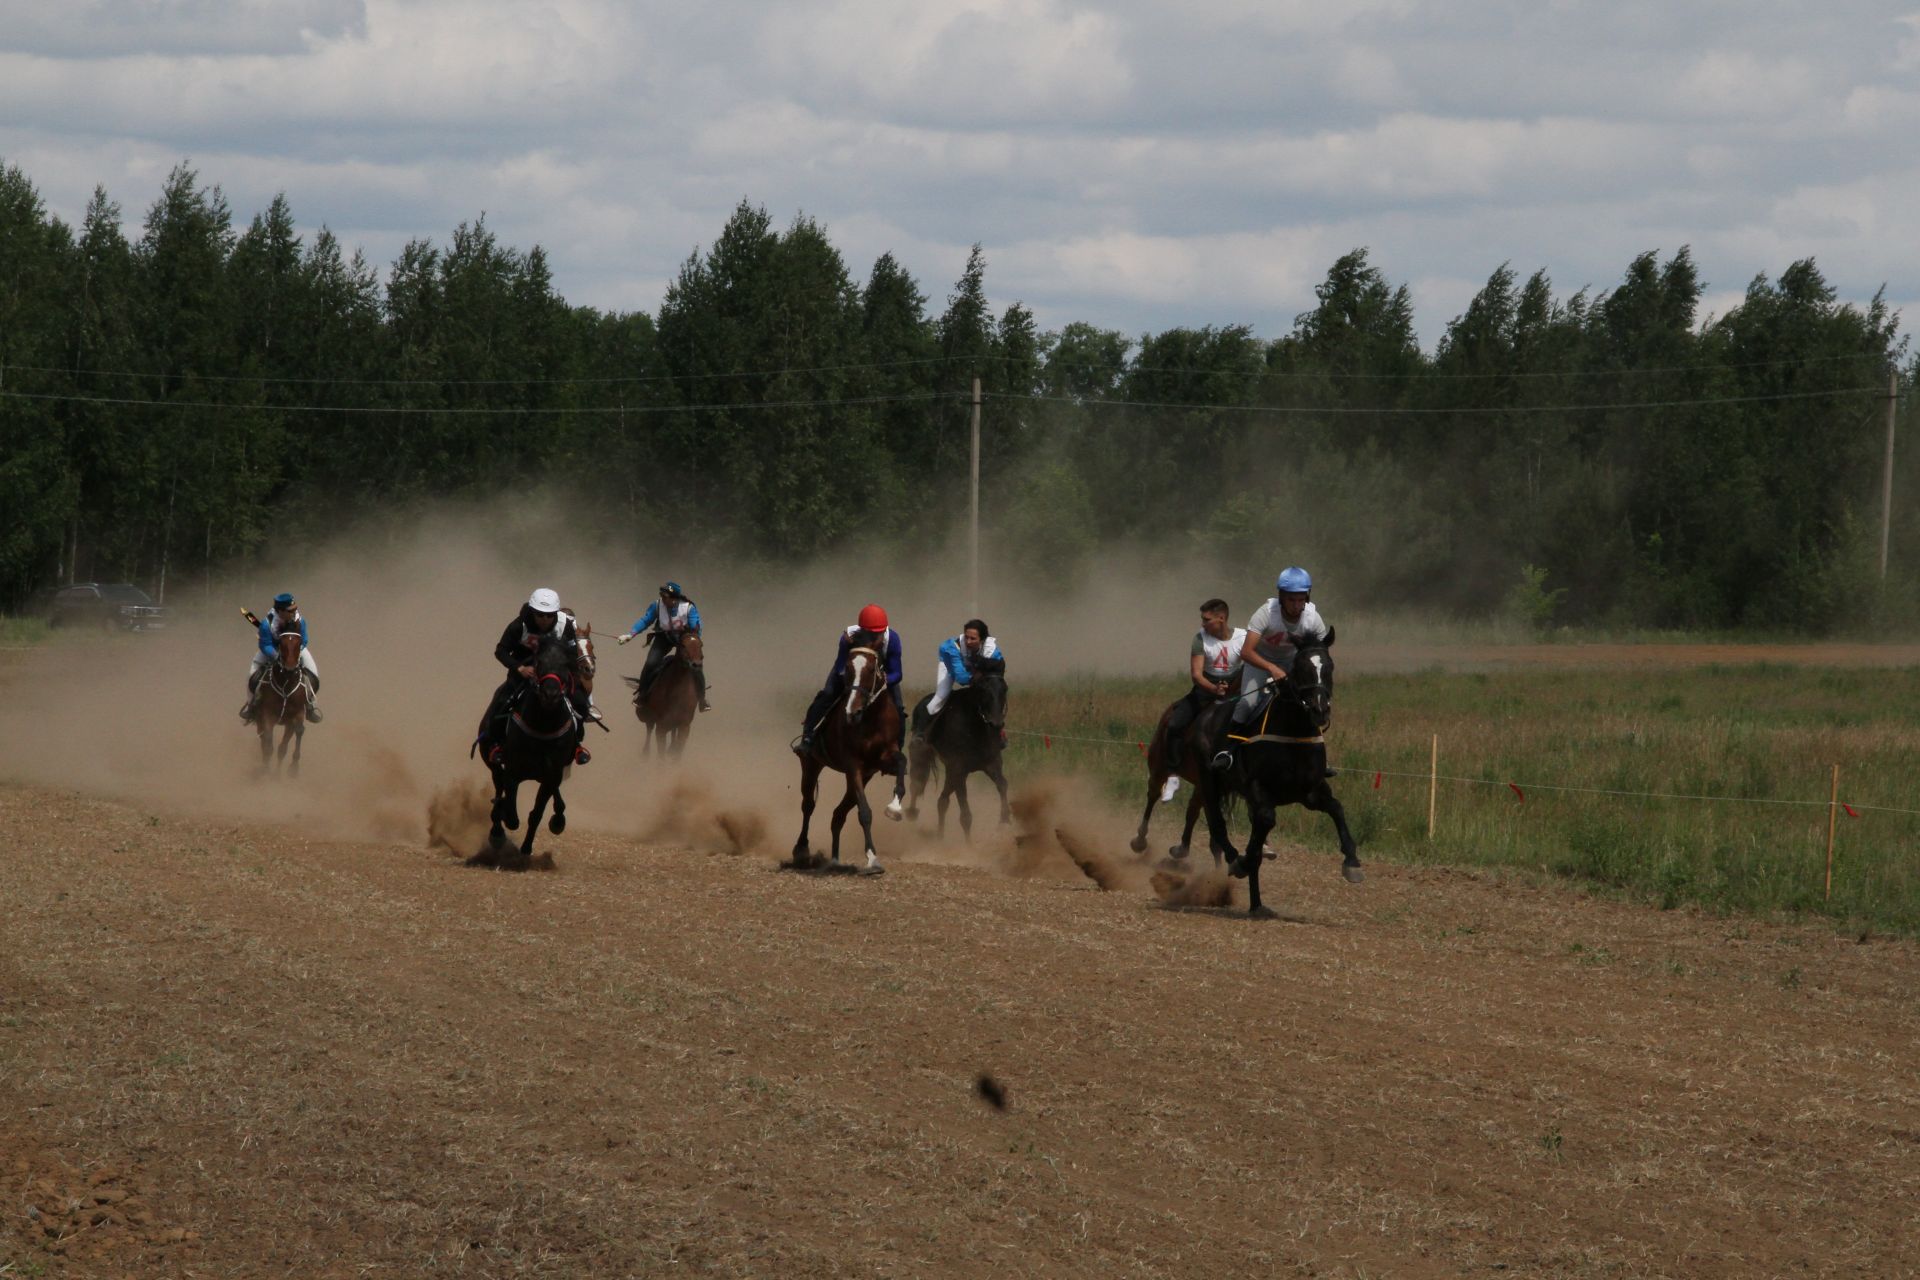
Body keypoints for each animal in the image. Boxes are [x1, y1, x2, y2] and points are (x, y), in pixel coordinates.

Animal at [253, 625, 312, 775]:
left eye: (299, 642)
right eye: (281, 643)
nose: (290, 668)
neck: (286, 684)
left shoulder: (296, 714)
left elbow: (289, 741)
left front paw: (292, 768)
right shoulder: (267, 714)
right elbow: (268, 745)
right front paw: (266, 771)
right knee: (263, 740)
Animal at [470, 629, 579, 871]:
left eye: (566, 664)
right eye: (538, 662)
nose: (550, 694)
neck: (543, 724)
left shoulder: (551, 774)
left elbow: (536, 814)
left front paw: (527, 849)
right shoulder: (513, 772)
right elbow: (511, 815)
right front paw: (499, 826)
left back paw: (558, 818)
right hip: (491, 759)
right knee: (498, 784)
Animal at [798, 644, 910, 875]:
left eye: (872, 670)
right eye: (847, 669)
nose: (853, 710)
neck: (871, 719)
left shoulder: (883, 758)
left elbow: (901, 763)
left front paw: (894, 808)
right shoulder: (853, 765)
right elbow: (865, 812)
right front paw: (872, 860)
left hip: (863, 777)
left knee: (838, 814)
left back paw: (834, 860)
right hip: (811, 764)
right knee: (808, 805)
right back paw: (802, 850)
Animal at [906, 660, 1013, 840]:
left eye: (1004, 688)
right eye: (983, 689)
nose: (996, 723)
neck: (975, 728)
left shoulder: (992, 763)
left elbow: (1003, 785)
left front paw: (1004, 821)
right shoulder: (958, 769)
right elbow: (966, 816)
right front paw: (969, 846)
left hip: (951, 771)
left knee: (942, 801)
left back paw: (940, 838)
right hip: (922, 756)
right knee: (917, 783)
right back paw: (908, 812)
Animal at [1190, 633, 1359, 917]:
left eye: (1329, 666)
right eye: (1300, 668)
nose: (1320, 710)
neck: (1293, 731)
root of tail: (1206, 715)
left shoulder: (1310, 791)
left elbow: (1336, 808)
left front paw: (1352, 861)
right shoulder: (1259, 789)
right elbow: (1266, 822)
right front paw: (1243, 860)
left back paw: (1257, 904)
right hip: (1209, 781)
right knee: (1218, 826)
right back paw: (1237, 862)